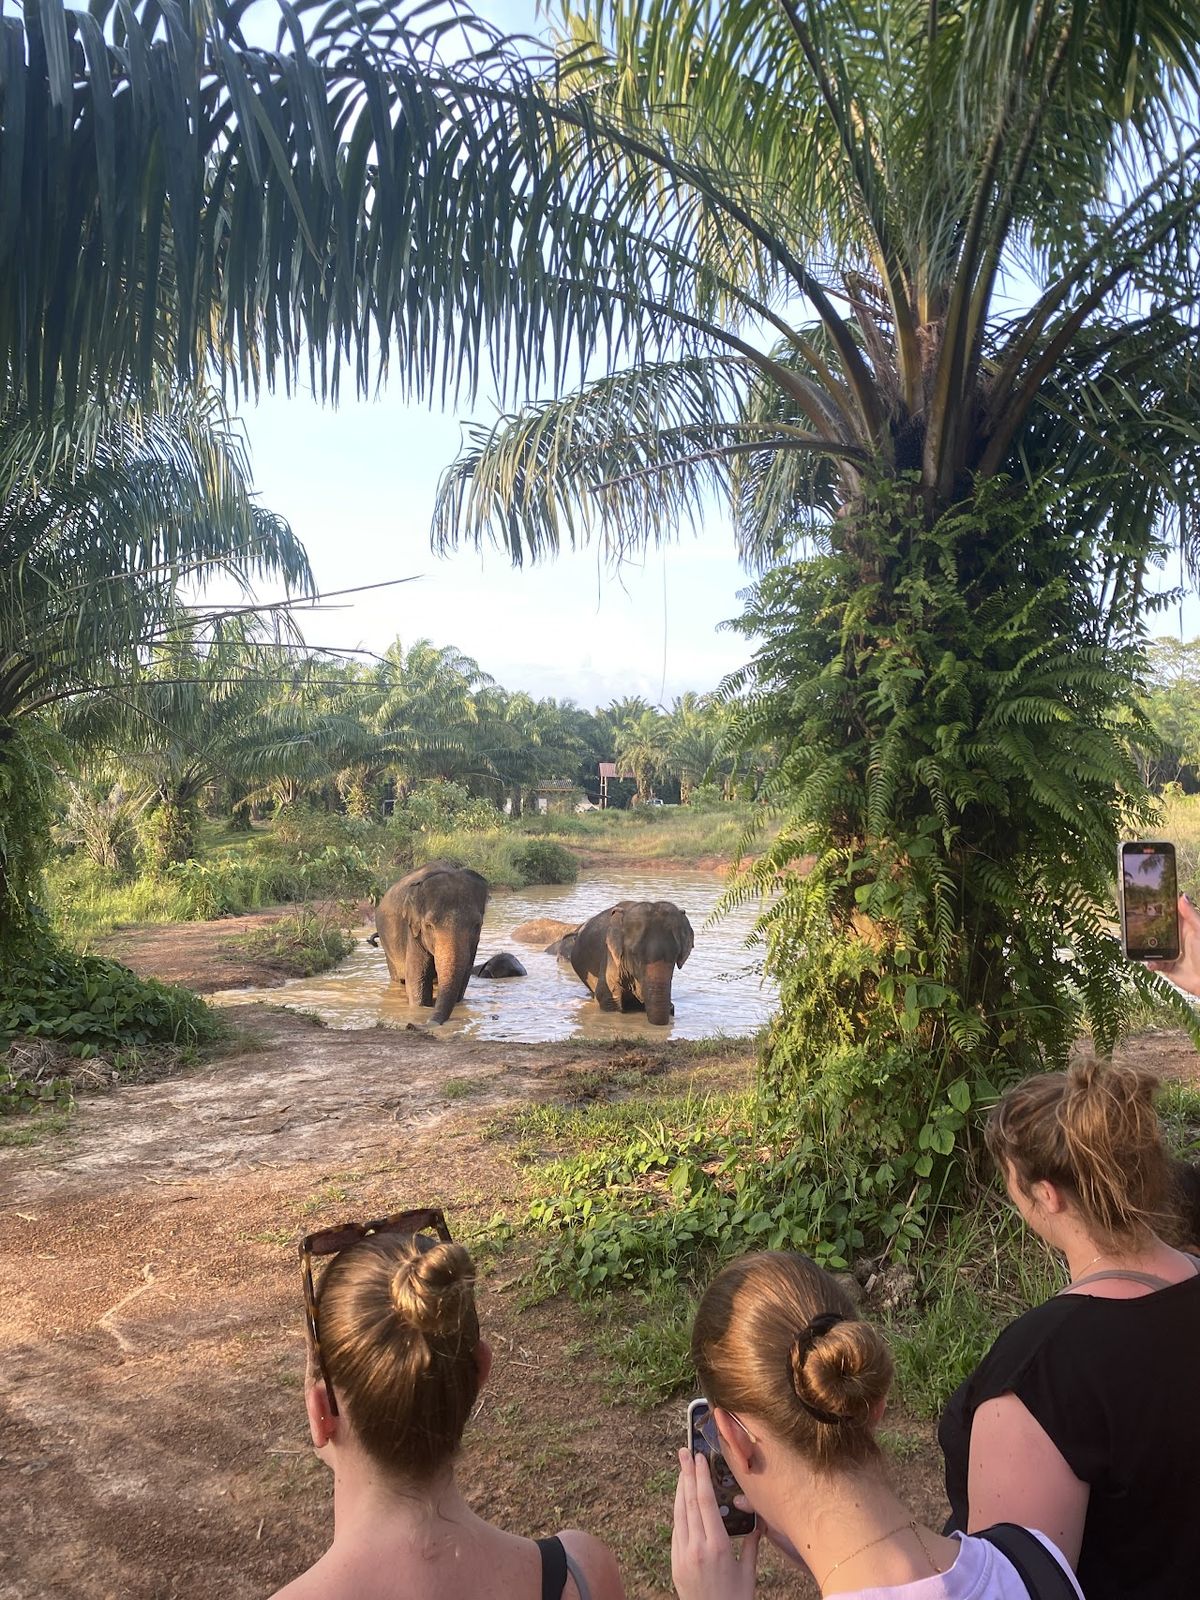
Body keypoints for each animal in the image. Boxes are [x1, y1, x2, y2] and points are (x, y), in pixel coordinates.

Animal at [374, 861, 489, 1024]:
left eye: (477, 925)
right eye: (429, 925)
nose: (430, 1022)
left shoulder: (474, 945)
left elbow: (463, 978)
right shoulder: (414, 932)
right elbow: (417, 977)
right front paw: (420, 1009)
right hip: (388, 947)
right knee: (399, 979)